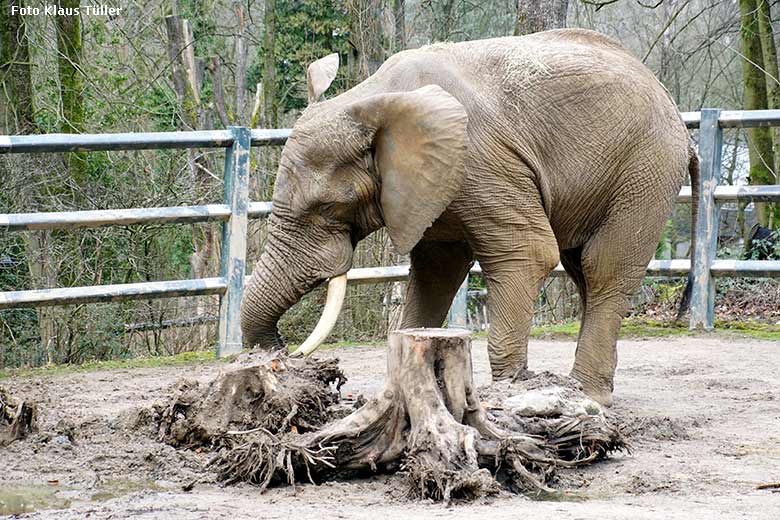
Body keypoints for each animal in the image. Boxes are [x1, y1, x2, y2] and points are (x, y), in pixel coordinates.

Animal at [241, 28, 696, 406]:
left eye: (326, 207)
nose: (282, 354)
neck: (372, 99)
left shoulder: (481, 161)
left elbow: (527, 255)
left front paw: (510, 394)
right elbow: (435, 273)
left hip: (646, 169)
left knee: (604, 268)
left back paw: (587, 396)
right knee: (581, 268)